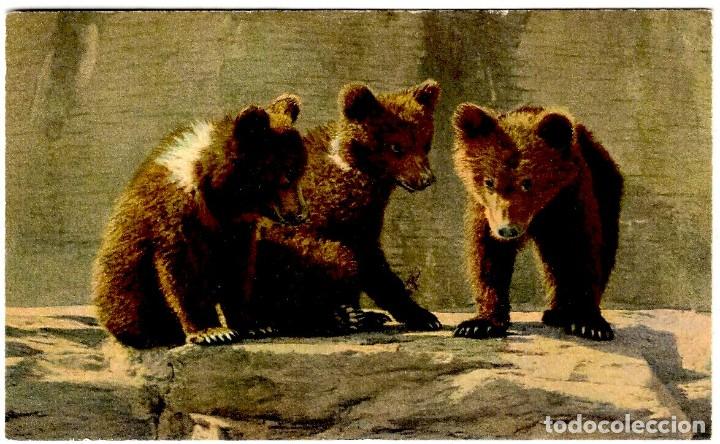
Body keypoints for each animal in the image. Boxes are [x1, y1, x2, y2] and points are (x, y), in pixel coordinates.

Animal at [92, 94, 307, 348]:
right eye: (287, 177)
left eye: (300, 172)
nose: (301, 214)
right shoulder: (177, 214)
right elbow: (182, 270)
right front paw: (212, 331)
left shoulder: (236, 229)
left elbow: (238, 268)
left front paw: (257, 325)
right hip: (124, 285)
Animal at [250, 80, 443, 335]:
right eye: (395, 147)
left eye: (425, 143)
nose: (426, 179)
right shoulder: (333, 217)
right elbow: (365, 264)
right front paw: (422, 315)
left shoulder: (369, 216)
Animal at [451, 104, 623, 341]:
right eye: (489, 181)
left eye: (527, 182)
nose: (507, 229)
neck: (539, 212)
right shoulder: (485, 213)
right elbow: (488, 257)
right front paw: (479, 324)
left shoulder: (571, 200)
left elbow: (580, 254)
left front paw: (589, 324)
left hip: (606, 187)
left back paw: (559, 312)